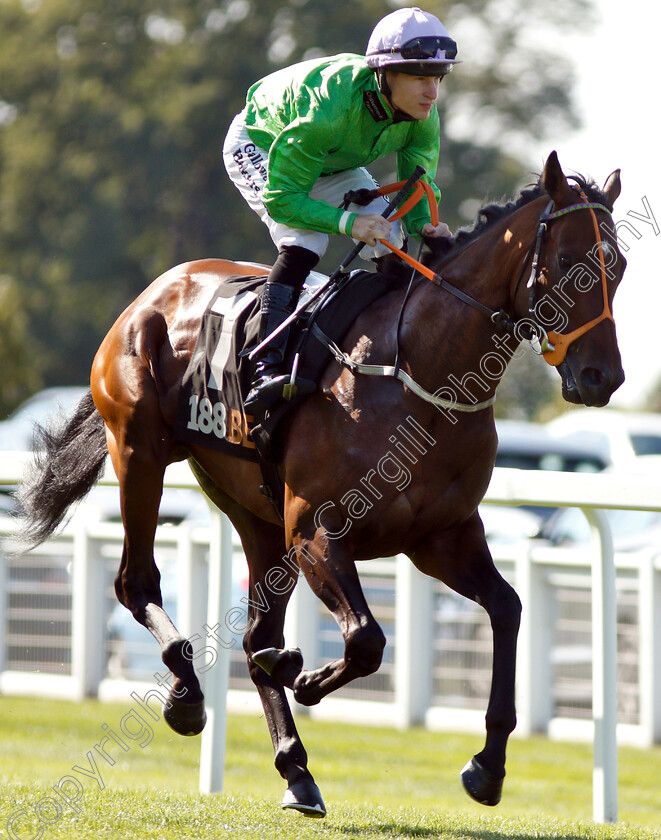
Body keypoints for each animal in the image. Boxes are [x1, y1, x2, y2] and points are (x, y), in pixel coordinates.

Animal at [16, 151, 624, 812]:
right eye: (566, 262)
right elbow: (364, 640)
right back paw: (189, 696)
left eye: (617, 265)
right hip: (140, 453)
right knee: (136, 581)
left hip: (253, 512)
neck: (416, 373)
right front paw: (303, 676)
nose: (604, 378)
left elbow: (508, 609)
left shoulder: (442, 538)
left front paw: (487, 766)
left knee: (255, 632)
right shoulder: (316, 532)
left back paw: (296, 767)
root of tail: (150, 296)